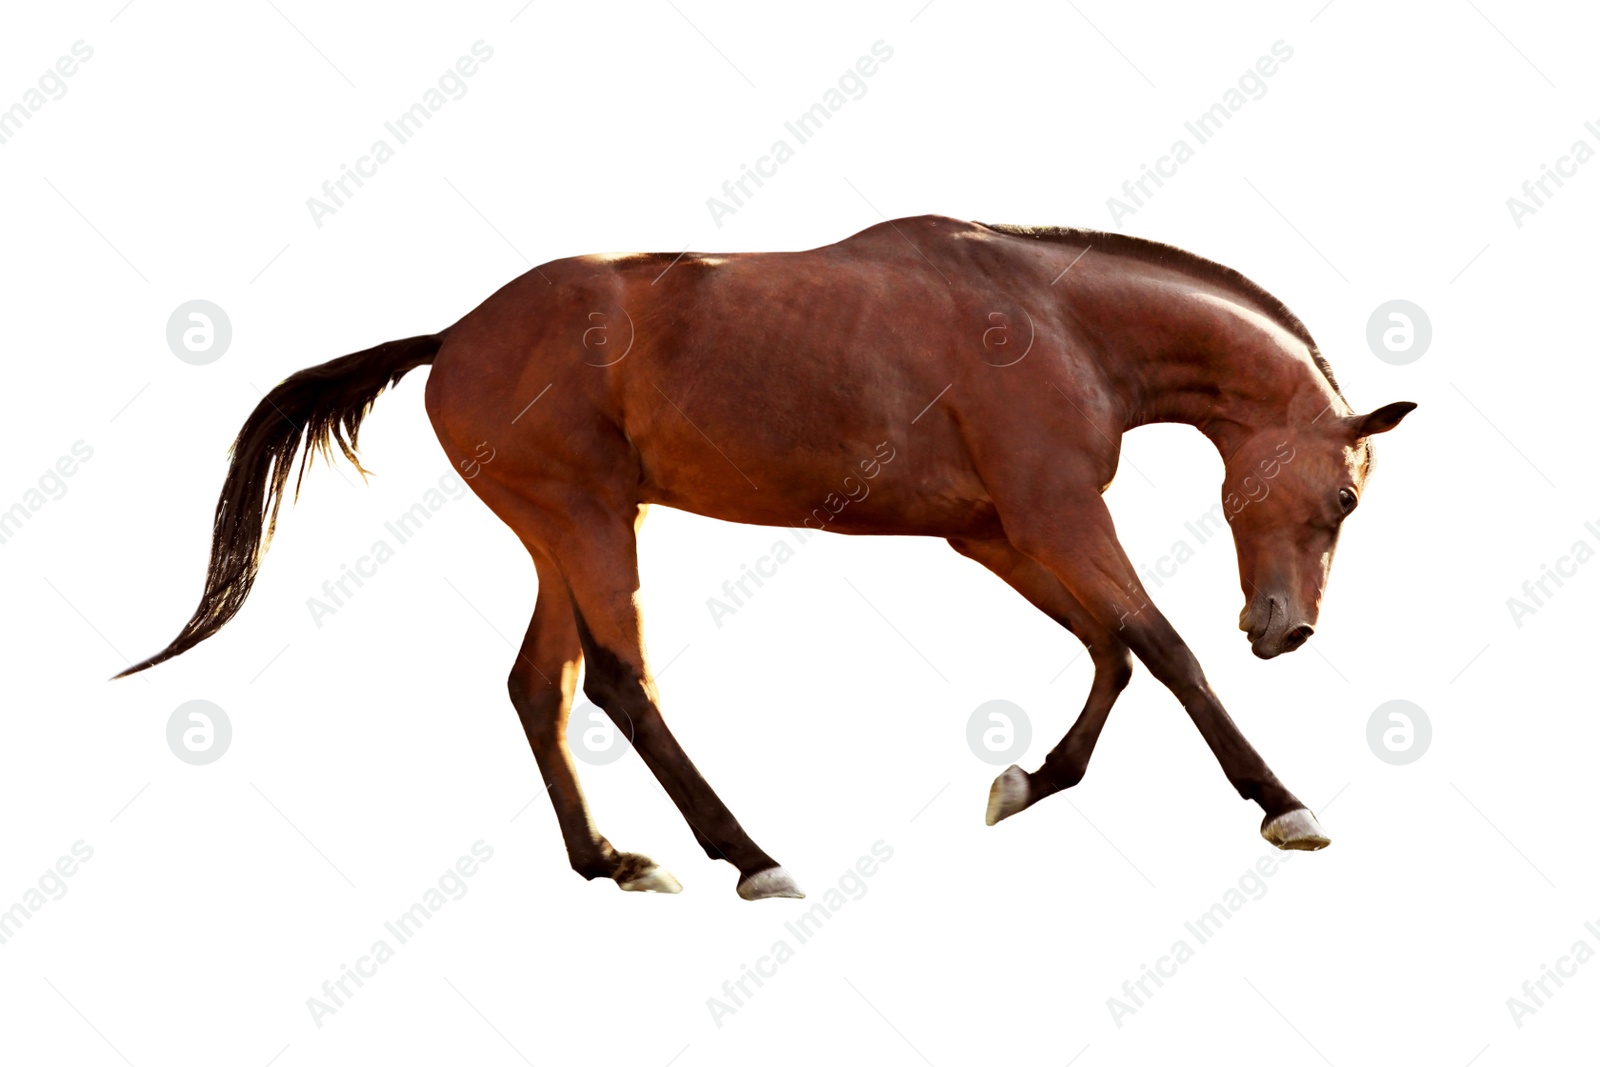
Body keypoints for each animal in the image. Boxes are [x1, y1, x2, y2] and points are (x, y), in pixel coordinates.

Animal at [121, 217, 1414, 902]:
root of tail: (453, 336)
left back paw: (609, 860)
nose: (1285, 627)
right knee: (619, 680)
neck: (1053, 321)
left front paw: (1026, 780)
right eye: (1345, 498)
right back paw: (749, 857)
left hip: (565, 528)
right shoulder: (1055, 516)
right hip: (587, 519)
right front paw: (1284, 804)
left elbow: (1110, 647)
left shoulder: (997, 530)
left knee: (541, 684)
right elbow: (1162, 644)